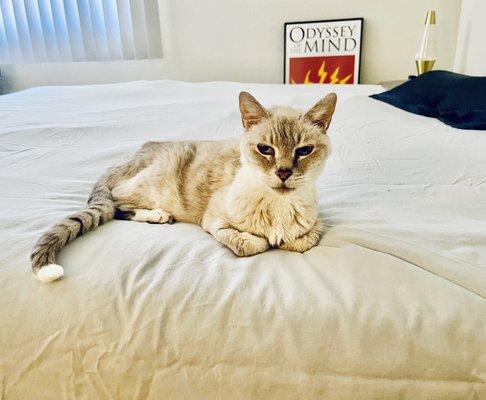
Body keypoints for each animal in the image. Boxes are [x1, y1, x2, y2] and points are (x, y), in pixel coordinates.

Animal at [30, 92, 336, 282]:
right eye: (265, 149)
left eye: (304, 151)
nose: (283, 172)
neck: (278, 206)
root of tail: (134, 154)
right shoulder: (214, 222)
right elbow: (250, 244)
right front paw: (263, 241)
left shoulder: (317, 224)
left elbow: (303, 241)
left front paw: (283, 239)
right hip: (153, 185)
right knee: (116, 203)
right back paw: (158, 215)